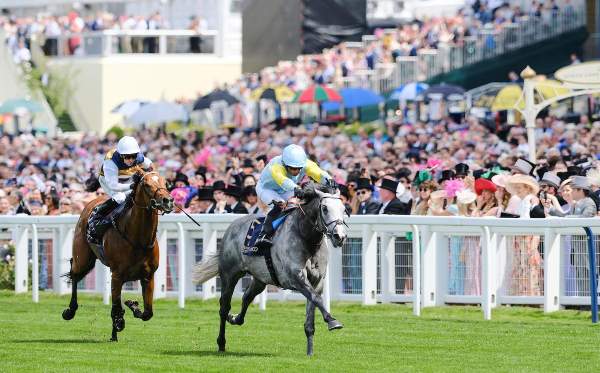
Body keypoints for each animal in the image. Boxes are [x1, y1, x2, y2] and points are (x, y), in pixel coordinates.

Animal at [61, 171, 172, 340]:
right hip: (84, 259)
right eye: (146, 184)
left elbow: (147, 313)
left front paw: (132, 305)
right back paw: (70, 311)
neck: (138, 239)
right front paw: (120, 321)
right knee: (74, 275)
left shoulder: (148, 276)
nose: (167, 200)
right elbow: (116, 306)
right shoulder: (117, 275)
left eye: (165, 183)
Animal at [193, 182, 346, 356]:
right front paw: (332, 321)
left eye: (343, 209)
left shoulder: (317, 282)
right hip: (229, 275)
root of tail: (232, 226)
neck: (306, 238)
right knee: (224, 307)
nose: (340, 236)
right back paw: (221, 342)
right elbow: (317, 299)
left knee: (246, 297)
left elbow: (312, 309)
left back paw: (235, 318)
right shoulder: (295, 278)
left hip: (260, 279)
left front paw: (310, 352)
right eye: (325, 208)